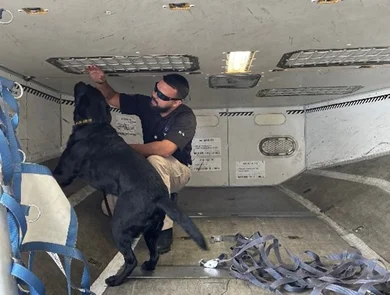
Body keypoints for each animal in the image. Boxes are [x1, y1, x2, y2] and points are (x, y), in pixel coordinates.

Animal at [54, 82, 210, 288]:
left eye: (84, 89)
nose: (81, 82)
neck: (95, 123)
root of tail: (159, 196)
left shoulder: (64, 173)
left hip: (119, 227)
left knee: (131, 260)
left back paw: (115, 280)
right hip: (151, 231)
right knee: (154, 254)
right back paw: (149, 266)